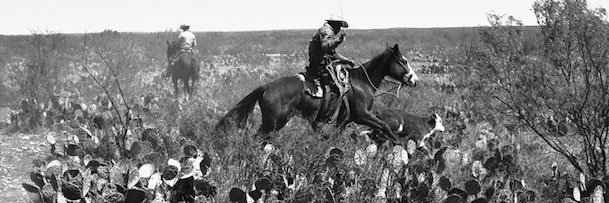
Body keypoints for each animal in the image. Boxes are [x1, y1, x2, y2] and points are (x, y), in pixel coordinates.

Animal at [216, 44, 420, 143]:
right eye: (403, 61)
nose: (414, 80)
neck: (361, 83)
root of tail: (266, 87)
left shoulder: (344, 121)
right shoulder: (363, 115)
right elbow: (385, 126)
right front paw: (401, 145)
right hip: (273, 122)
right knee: (256, 139)